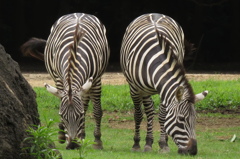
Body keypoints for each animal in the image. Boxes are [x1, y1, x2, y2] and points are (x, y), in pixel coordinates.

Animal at [21, 13, 109, 150]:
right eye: (62, 116)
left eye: (80, 116)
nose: (72, 145)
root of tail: (78, 13)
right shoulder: (59, 78)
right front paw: (63, 134)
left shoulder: (96, 80)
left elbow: (97, 111)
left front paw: (98, 141)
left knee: (85, 102)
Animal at [121, 13, 207, 155]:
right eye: (181, 119)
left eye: (195, 119)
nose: (193, 151)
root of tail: (154, 13)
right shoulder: (135, 88)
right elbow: (139, 114)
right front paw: (137, 144)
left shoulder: (164, 90)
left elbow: (162, 115)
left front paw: (163, 144)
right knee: (148, 110)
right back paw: (146, 142)